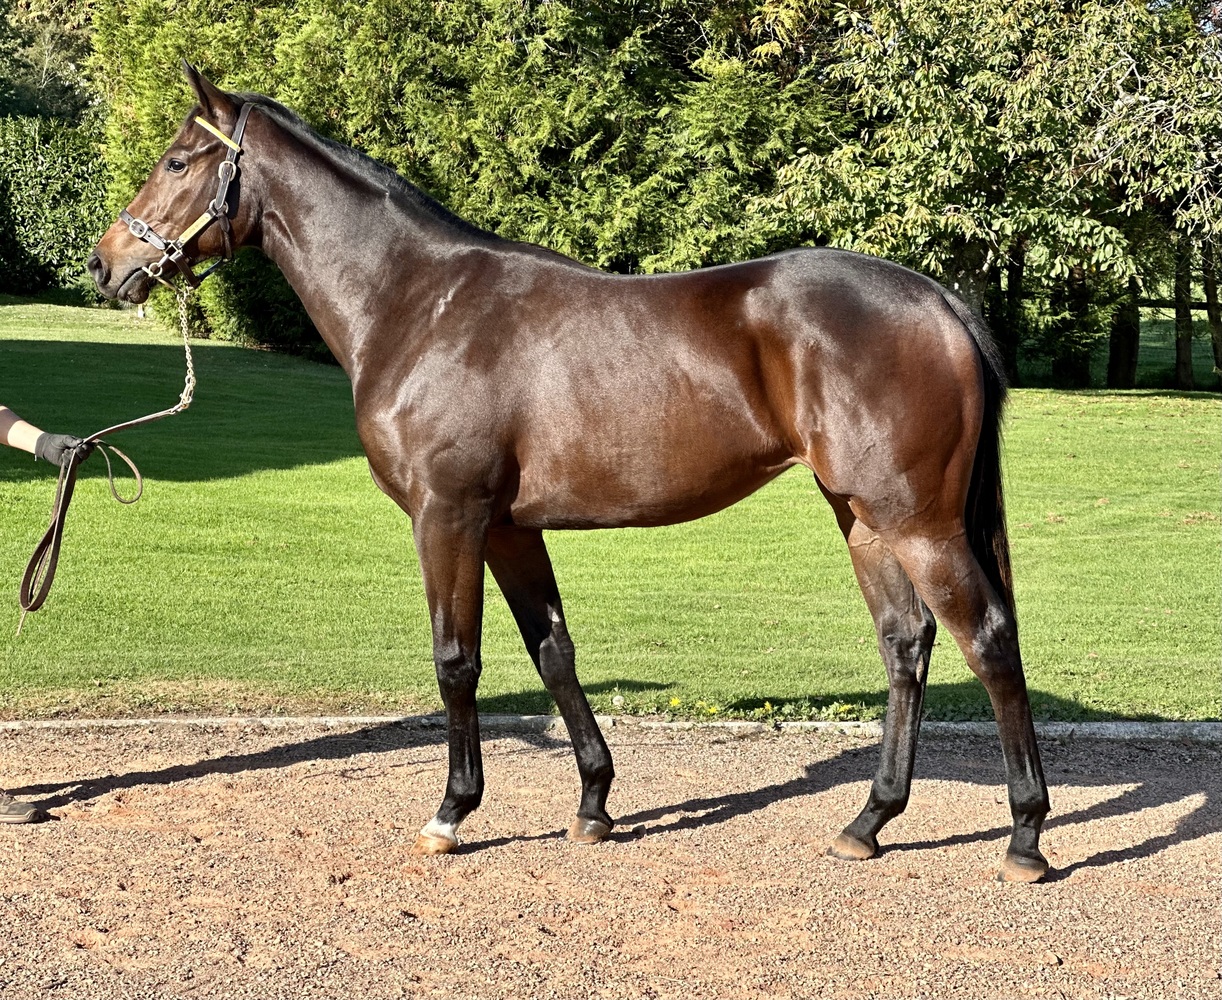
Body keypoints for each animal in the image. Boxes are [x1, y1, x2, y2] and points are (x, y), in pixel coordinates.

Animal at [88, 62, 1051, 883]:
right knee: (906, 644)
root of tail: (937, 300)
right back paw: (869, 821)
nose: (106, 264)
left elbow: (457, 660)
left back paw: (1026, 837)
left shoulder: (448, 515)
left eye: (178, 160)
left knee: (989, 641)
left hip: (918, 521)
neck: (419, 304)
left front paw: (453, 812)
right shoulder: (510, 528)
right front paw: (594, 803)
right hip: (862, 516)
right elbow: (552, 652)